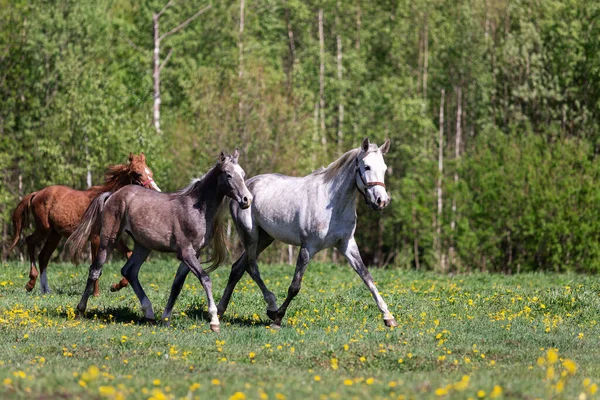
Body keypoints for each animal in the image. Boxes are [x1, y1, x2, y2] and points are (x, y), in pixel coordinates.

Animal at [9, 152, 159, 296]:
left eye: (150, 172)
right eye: (138, 173)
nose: (156, 191)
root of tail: (37, 193)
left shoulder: (112, 239)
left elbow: (128, 255)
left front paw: (116, 287)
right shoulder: (95, 238)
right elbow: (95, 265)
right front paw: (96, 294)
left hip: (55, 235)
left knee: (43, 256)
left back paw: (45, 290)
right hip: (44, 228)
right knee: (30, 241)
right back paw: (30, 284)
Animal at [67, 150, 251, 332]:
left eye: (243, 174)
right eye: (228, 175)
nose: (246, 200)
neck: (195, 209)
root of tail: (113, 195)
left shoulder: (194, 253)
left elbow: (177, 284)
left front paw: (165, 318)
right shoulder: (185, 252)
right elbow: (205, 278)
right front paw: (214, 321)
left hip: (143, 245)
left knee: (129, 271)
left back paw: (149, 313)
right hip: (108, 241)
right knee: (95, 270)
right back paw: (81, 309)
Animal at [217, 138, 398, 328]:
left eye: (384, 168)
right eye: (367, 167)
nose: (381, 201)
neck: (332, 203)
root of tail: (243, 191)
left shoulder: (347, 244)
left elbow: (367, 277)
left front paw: (388, 317)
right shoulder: (307, 247)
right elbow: (294, 286)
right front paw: (278, 318)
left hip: (265, 238)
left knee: (238, 268)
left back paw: (220, 310)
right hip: (250, 235)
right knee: (251, 266)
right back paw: (271, 308)